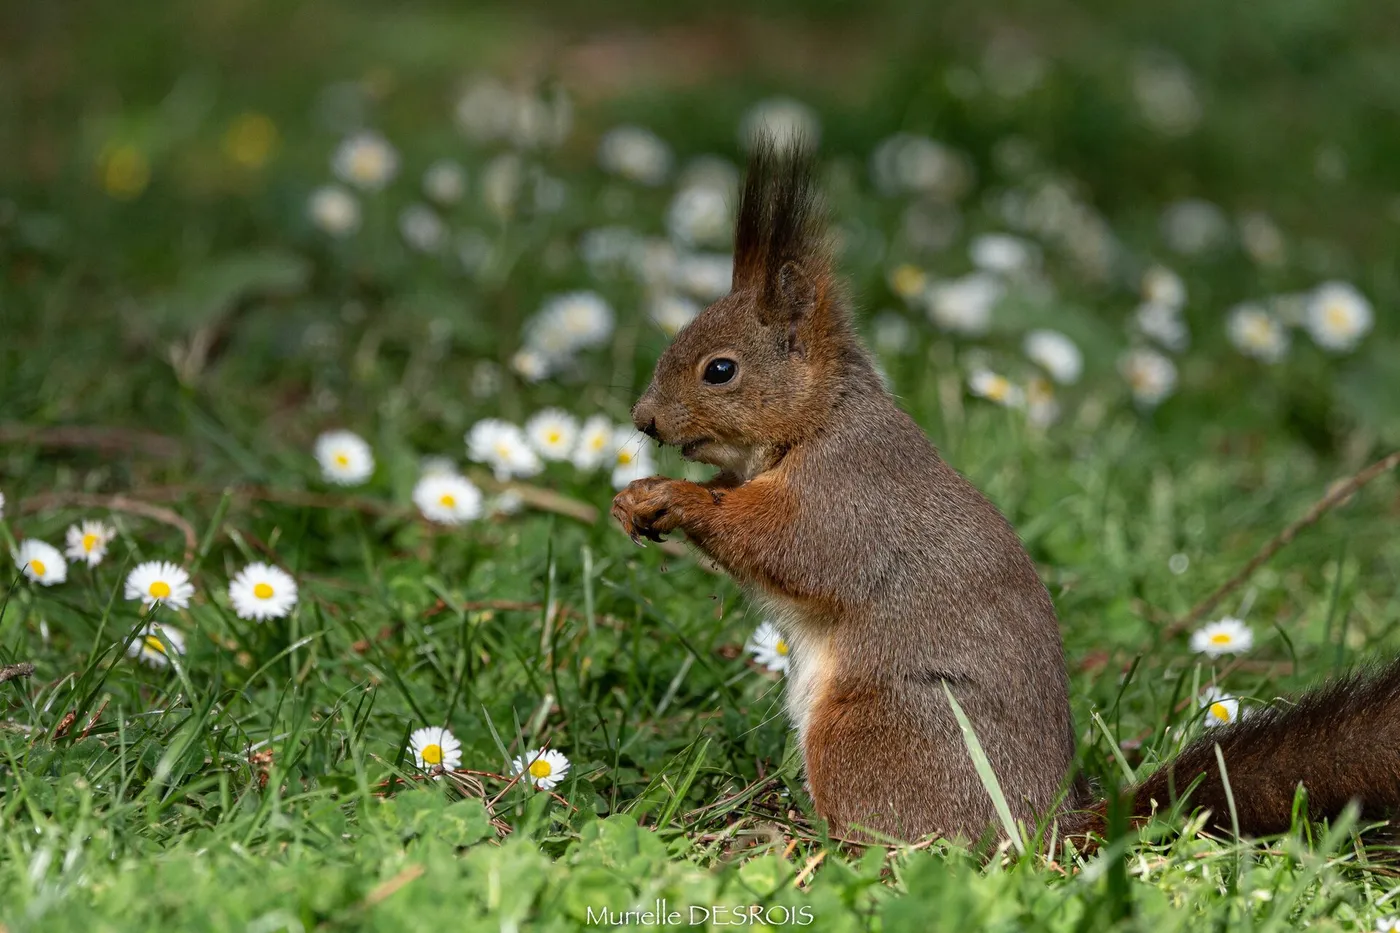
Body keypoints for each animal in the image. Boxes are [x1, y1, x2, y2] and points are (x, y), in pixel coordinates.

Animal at [611, 138, 1400, 845]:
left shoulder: (849, 492)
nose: (642, 420)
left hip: (876, 731)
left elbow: (793, 548)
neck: (818, 421)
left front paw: (679, 499)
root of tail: (1044, 824)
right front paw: (637, 494)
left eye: (720, 370)